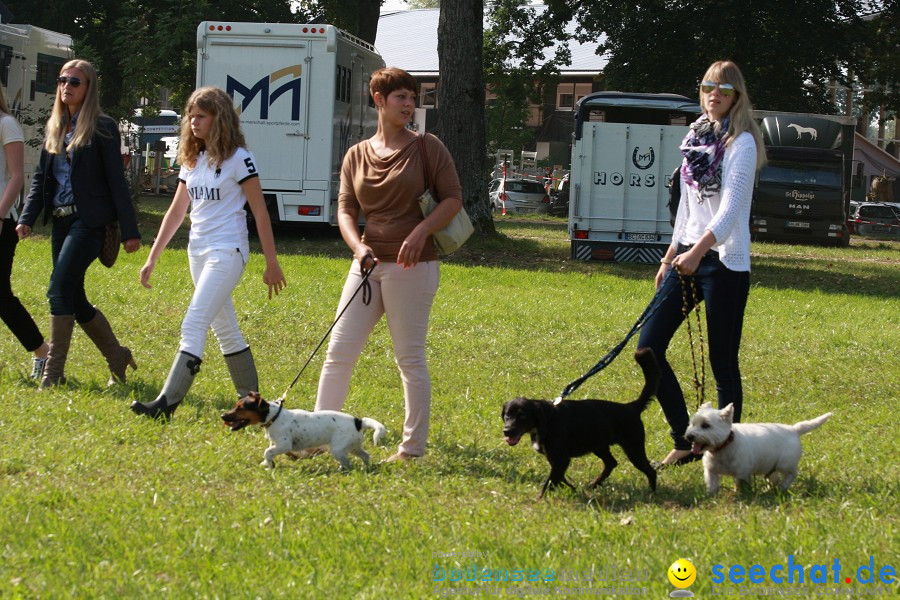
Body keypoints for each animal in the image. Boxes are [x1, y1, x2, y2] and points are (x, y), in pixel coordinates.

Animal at [500, 346, 660, 496]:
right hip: (599, 445)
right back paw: (594, 485)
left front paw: (540, 499)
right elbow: (559, 478)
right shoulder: (555, 458)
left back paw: (652, 494)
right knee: (611, 463)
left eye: (522, 416)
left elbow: (550, 482)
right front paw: (571, 489)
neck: (546, 420)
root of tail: (631, 406)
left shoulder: (561, 458)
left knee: (650, 471)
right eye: (507, 416)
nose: (506, 431)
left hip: (633, 448)